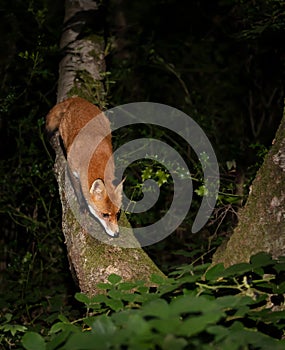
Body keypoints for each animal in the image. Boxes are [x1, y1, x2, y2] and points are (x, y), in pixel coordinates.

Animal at [46, 95, 122, 238]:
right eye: (104, 215)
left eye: (118, 213)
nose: (116, 234)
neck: (95, 158)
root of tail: (77, 99)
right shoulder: (71, 169)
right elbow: (78, 191)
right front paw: (82, 206)